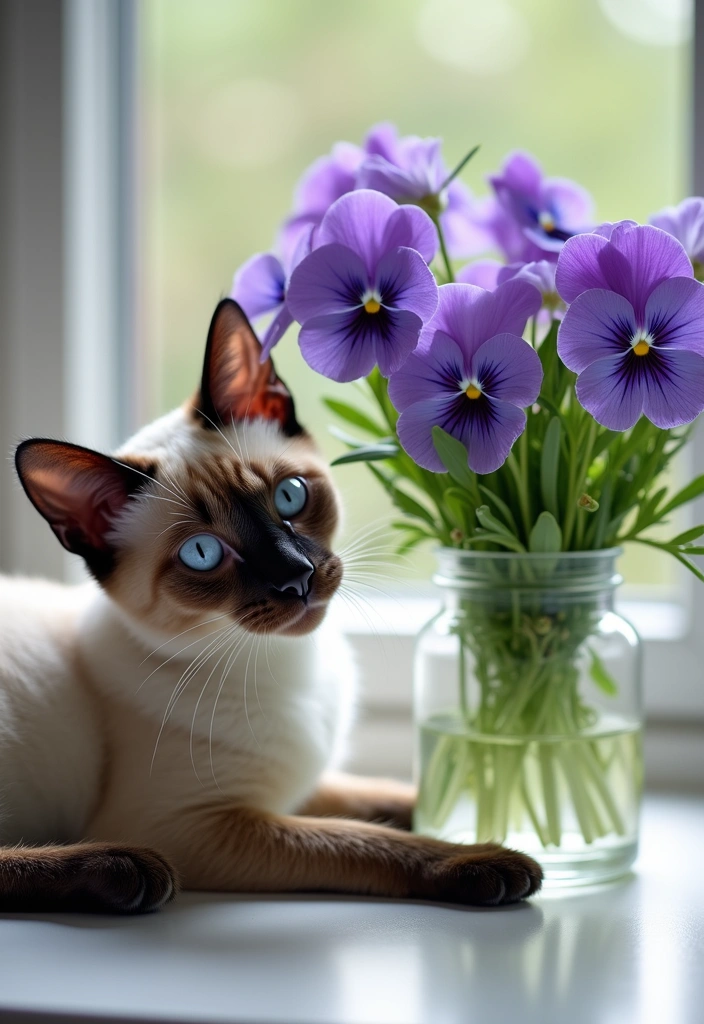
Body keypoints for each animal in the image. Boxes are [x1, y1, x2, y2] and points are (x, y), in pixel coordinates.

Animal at [0, 299, 544, 913]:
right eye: (203, 553)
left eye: (290, 497)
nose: (297, 578)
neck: (291, 668)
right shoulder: (196, 823)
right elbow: (367, 841)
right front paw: (487, 858)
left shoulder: (300, 784)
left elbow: (401, 797)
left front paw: (504, 804)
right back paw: (123, 871)